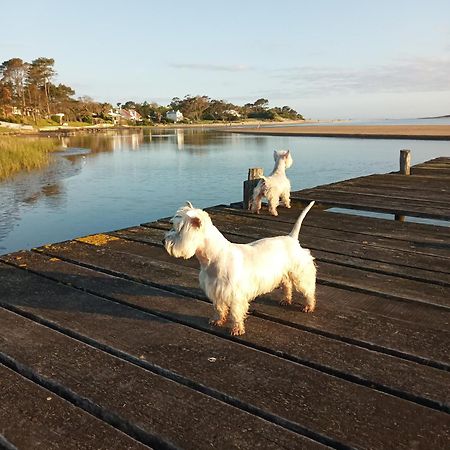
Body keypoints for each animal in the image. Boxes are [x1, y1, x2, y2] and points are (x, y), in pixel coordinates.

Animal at [163, 200, 316, 334]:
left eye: (178, 230)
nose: (164, 240)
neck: (213, 257)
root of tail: (292, 238)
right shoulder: (217, 291)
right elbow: (219, 308)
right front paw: (217, 320)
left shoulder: (235, 294)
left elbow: (236, 313)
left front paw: (237, 329)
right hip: (284, 272)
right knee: (287, 284)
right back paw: (286, 300)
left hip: (300, 273)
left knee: (308, 291)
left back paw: (309, 306)